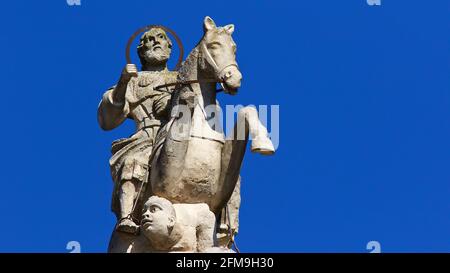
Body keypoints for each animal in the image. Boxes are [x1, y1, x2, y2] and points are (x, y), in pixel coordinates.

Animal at [149, 15, 274, 216]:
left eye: (234, 48)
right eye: (214, 45)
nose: (235, 79)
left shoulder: (216, 198)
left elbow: (247, 110)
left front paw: (263, 143)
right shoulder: (164, 186)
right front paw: (188, 96)